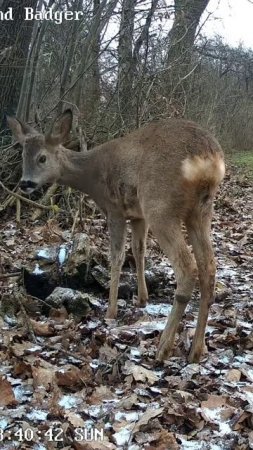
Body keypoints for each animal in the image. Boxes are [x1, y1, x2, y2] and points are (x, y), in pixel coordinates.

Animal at [7, 110, 225, 364]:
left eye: (42, 158)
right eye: (23, 155)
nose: (25, 183)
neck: (92, 176)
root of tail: (207, 159)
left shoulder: (115, 209)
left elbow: (117, 256)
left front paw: (111, 311)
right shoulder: (138, 216)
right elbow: (138, 251)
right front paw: (142, 299)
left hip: (160, 205)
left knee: (187, 268)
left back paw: (163, 348)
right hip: (201, 211)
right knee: (208, 266)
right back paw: (197, 350)